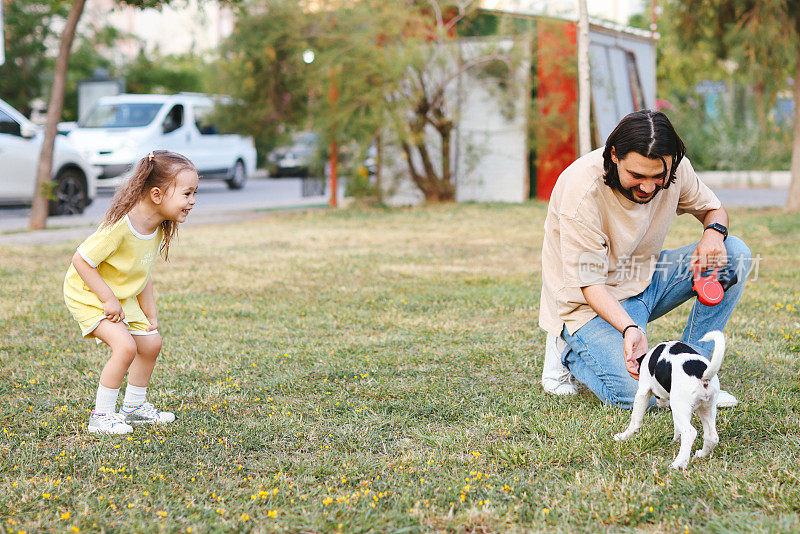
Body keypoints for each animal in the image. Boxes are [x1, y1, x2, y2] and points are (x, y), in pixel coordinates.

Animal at [612, 332, 724, 472]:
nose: (661, 404)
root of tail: (702, 374)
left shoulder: (643, 391)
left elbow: (635, 419)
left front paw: (624, 436)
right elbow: (677, 428)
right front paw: (675, 440)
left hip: (680, 406)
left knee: (690, 432)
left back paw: (679, 463)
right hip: (706, 408)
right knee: (712, 436)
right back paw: (701, 454)